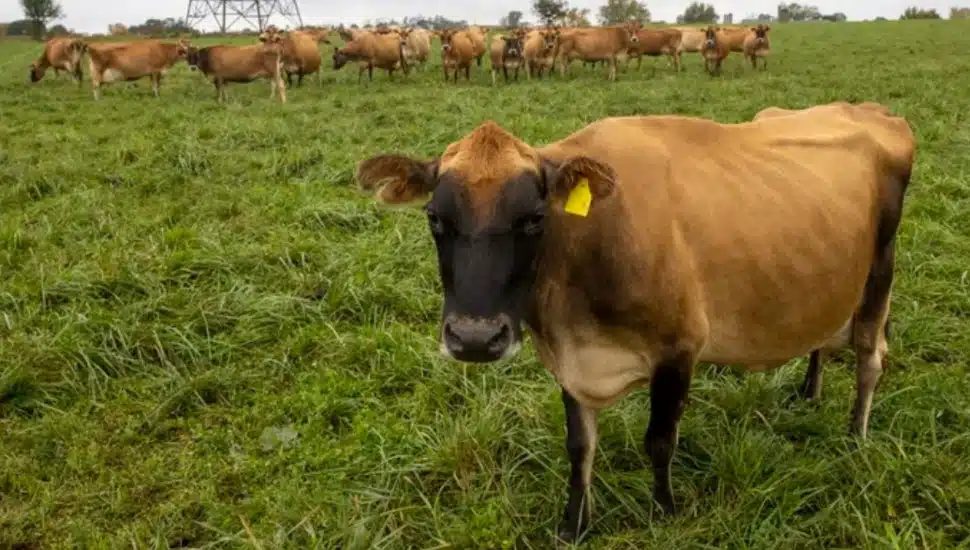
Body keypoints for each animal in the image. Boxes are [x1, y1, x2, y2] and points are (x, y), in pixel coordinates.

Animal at [353, 101, 915, 544]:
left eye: (534, 218)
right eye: (435, 218)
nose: (474, 338)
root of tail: (871, 110)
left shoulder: (680, 347)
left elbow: (659, 440)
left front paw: (665, 513)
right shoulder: (570, 362)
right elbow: (579, 447)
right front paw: (573, 525)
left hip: (879, 274)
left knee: (870, 358)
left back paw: (855, 438)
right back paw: (809, 393)